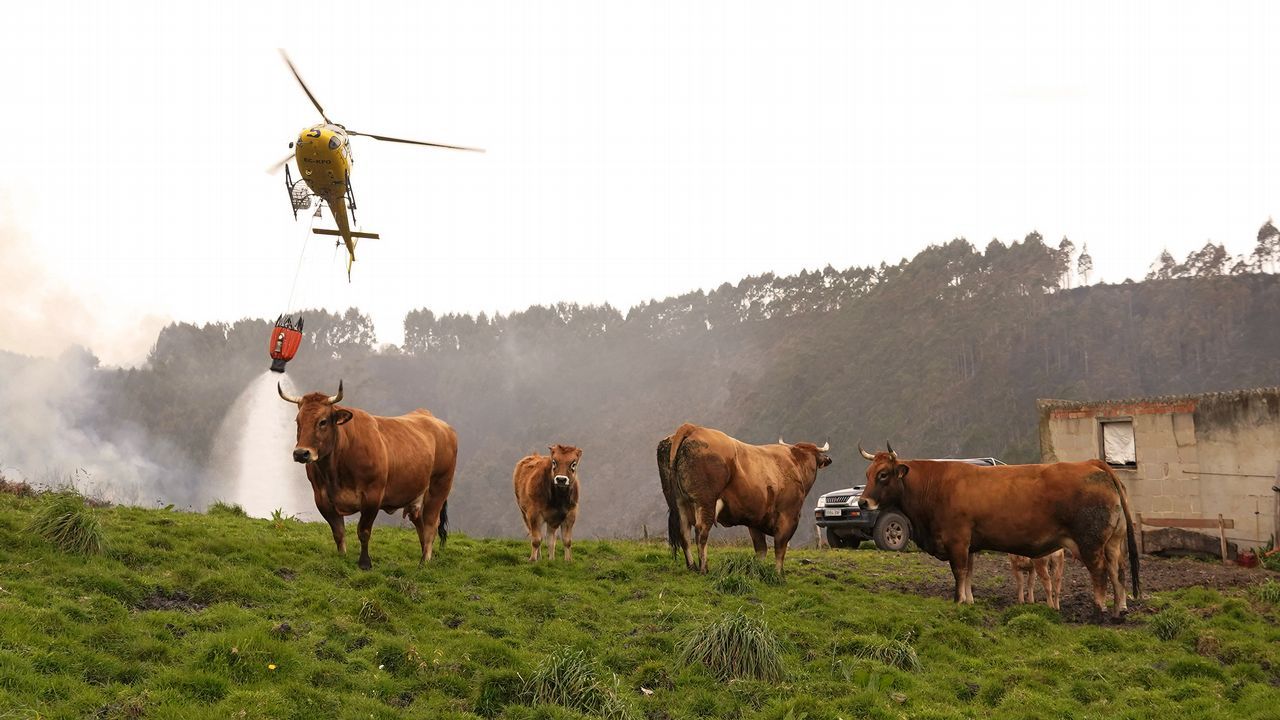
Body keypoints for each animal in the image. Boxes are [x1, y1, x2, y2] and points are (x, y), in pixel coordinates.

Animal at [277, 381, 458, 566]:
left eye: (323, 421)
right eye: (298, 421)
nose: (301, 453)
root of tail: (435, 421)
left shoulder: (373, 496)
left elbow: (363, 531)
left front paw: (364, 563)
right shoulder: (321, 498)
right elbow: (338, 532)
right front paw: (341, 557)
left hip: (439, 487)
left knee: (430, 525)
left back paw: (424, 562)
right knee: (419, 522)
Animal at [660, 420, 829, 571]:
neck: (795, 464)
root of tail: (693, 428)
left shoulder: (755, 520)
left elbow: (761, 549)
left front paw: (760, 571)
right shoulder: (788, 516)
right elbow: (780, 548)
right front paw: (779, 574)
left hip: (679, 502)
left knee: (684, 533)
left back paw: (692, 566)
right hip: (705, 502)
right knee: (701, 532)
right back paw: (703, 568)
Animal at [860, 440, 1141, 620]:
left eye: (883, 474)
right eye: (868, 473)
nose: (863, 502)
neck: (935, 486)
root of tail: (1091, 464)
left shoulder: (956, 541)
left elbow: (959, 572)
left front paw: (958, 601)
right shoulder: (969, 545)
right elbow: (969, 573)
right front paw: (969, 601)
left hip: (1090, 543)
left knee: (1101, 573)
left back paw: (1099, 611)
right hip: (1112, 542)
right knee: (1118, 572)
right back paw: (1119, 611)